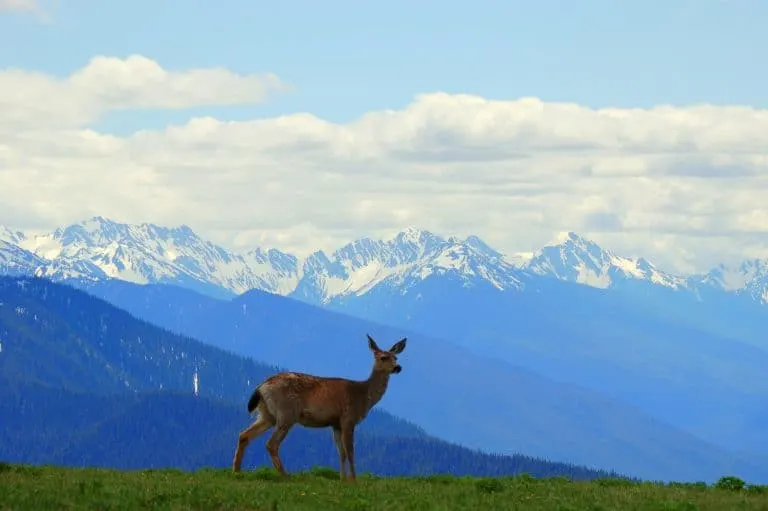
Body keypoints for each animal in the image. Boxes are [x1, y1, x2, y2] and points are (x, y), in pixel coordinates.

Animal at [230, 334, 404, 482]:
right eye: (383, 357)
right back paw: (286, 476)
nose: (398, 367)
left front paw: (343, 480)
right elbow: (350, 451)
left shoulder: (335, 423)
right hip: (287, 413)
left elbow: (341, 453)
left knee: (244, 435)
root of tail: (261, 387)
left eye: (396, 357)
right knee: (271, 444)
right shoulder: (348, 418)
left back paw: (236, 471)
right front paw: (354, 481)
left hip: (267, 414)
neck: (364, 395)